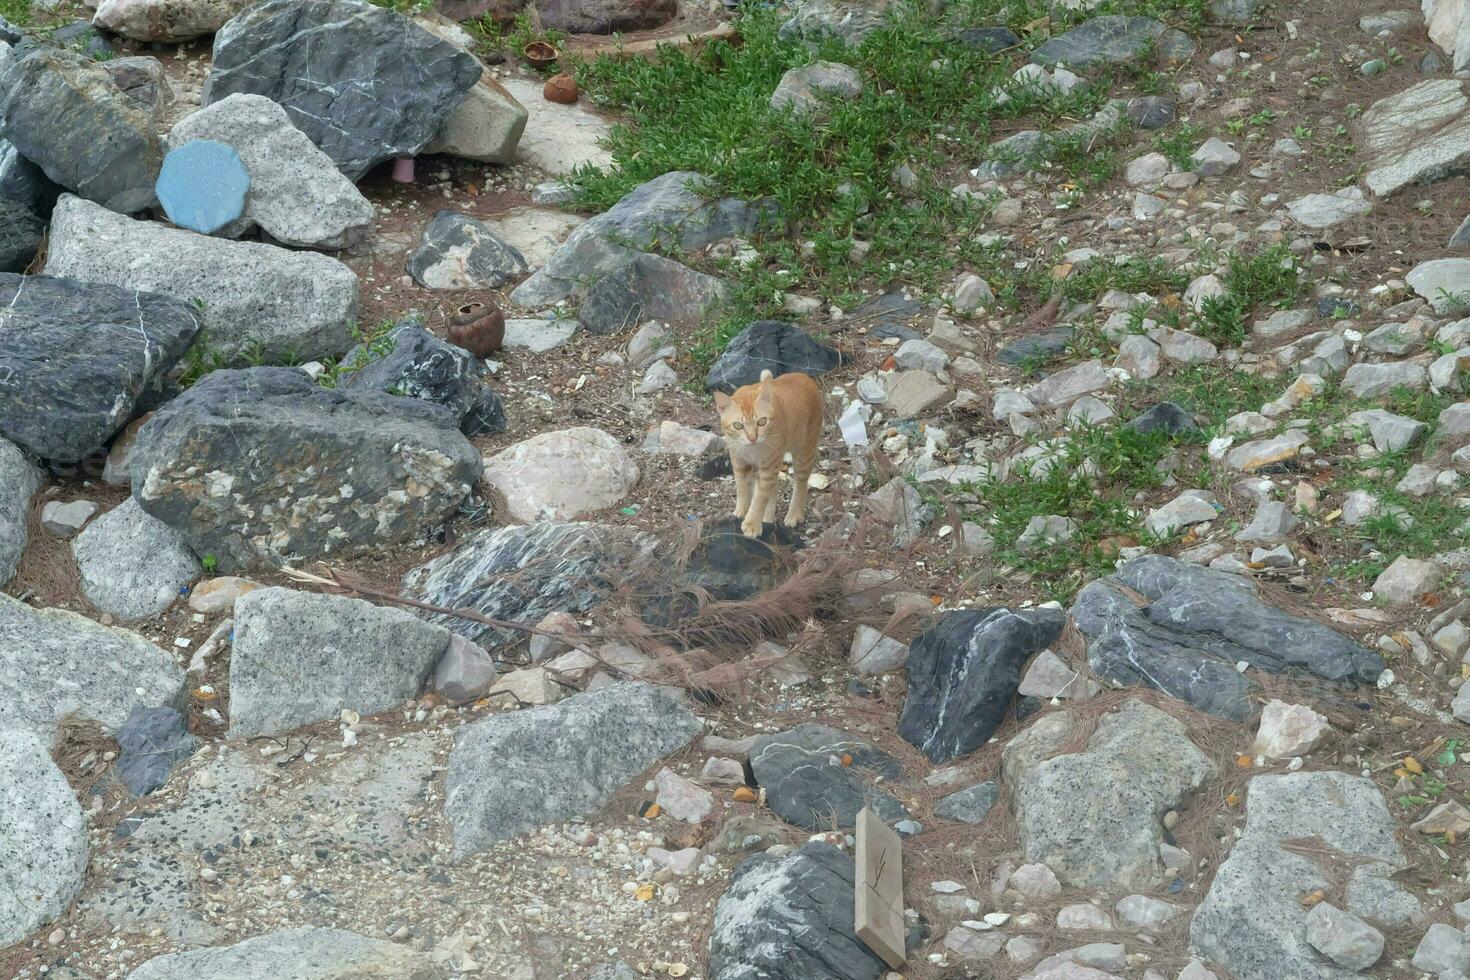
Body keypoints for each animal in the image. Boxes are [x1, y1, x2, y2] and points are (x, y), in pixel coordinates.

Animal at [714, 367, 829, 537]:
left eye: (762, 422)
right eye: (738, 425)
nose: (752, 438)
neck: (752, 450)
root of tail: (804, 376)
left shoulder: (768, 466)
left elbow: (759, 498)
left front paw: (752, 523)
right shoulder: (739, 461)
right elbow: (742, 489)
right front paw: (741, 511)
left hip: (803, 452)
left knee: (801, 484)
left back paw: (794, 514)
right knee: (774, 488)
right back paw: (768, 518)